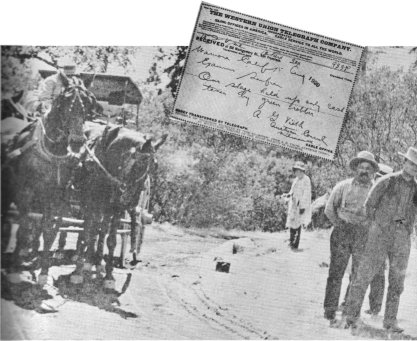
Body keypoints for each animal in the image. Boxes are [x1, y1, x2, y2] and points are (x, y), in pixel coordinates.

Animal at [1, 72, 99, 284]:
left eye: (89, 103)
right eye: (65, 101)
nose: (78, 141)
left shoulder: (55, 199)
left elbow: (48, 231)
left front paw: (44, 272)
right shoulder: (26, 193)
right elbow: (24, 228)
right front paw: (14, 270)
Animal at [70, 122, 166, 286]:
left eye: (155, 166)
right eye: (141, 162)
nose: (130, 199)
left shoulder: (116, 210)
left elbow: (111, 240)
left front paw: (109, 276)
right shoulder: (92, 202)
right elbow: (87, 233)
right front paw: (78, 272)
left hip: (106, 208)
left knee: (101, 230)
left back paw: (96, 261)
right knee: (89, 228)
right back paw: (82, 257)